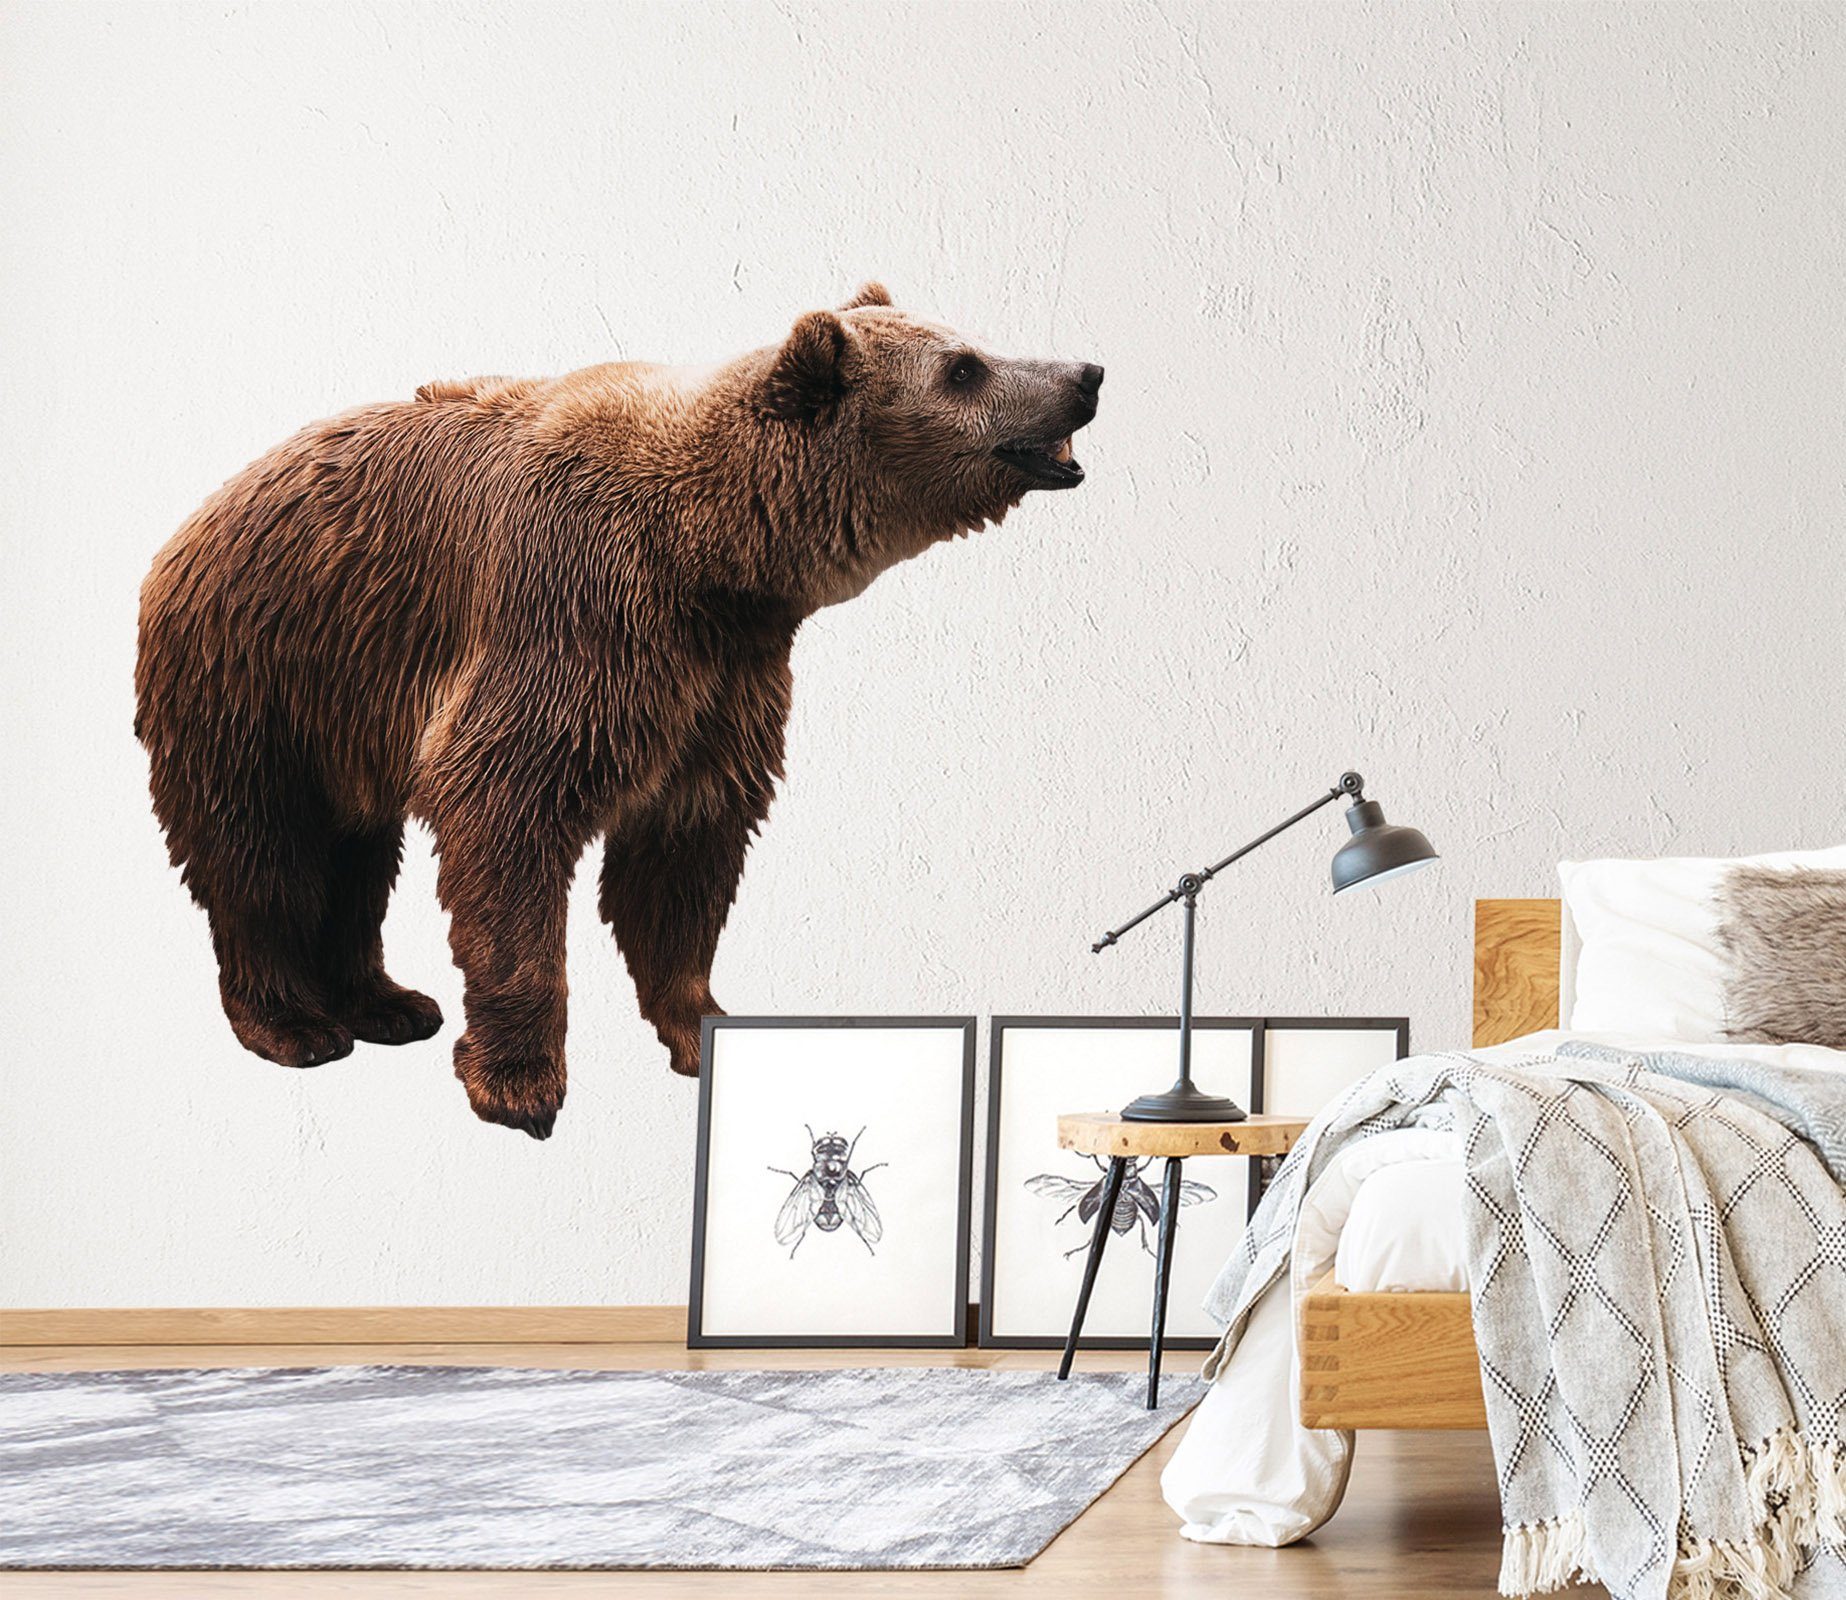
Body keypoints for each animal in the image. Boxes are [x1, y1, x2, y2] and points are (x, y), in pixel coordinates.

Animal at [135, 283, 1102, 1138]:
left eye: (974, 339)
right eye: (966, 368)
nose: (1086, 373)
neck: (714, 563)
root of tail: (195, 517)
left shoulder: (719, 689)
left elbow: (684, 859)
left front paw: (704, 1030)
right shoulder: (574, 617)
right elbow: (504, 819)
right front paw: (521, 1085)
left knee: (356, 853)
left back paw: (389, 1003)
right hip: (264, 670)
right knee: (262, 850)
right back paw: (295, 1023)